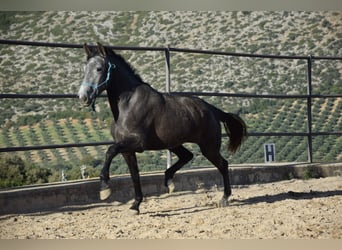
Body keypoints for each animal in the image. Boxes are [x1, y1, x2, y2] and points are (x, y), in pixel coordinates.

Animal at [78, 42, 247, 214]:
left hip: (208, 147)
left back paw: (224, 198)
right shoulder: (127, 150)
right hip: (173, 144)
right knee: (188, 156)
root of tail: (212, 110)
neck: (128, 104)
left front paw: (104, 188)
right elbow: (134, 175)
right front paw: (135, 205)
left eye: (99, 68)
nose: (83, 97)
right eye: (84, 68)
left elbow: (110, 151)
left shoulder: (137, 143)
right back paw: (169, 181)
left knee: (223, 164)